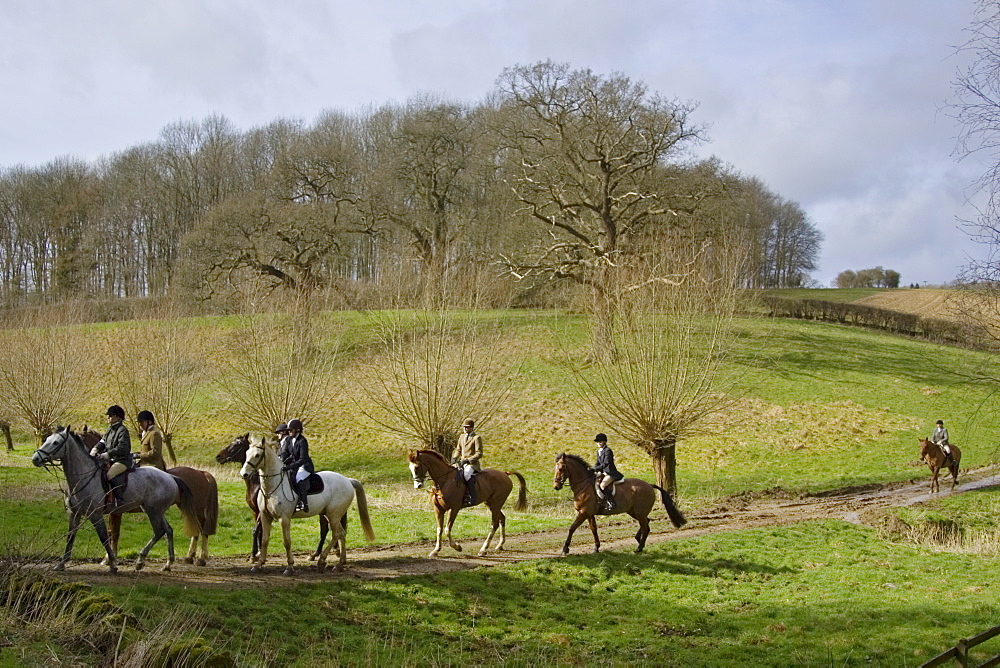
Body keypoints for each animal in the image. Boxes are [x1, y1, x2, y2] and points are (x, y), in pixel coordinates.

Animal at [31, 428, 197, 576]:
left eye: (56, 442)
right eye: (46, 440)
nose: (35, 459)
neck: (83, 477)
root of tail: (171, 477)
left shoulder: (96, 515)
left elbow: (105, 537)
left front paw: (112, 564)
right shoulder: (74, 513)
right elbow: (71, 536)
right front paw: (61, 563)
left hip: (153, 511)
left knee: (159, 531)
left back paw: (140, 561)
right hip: (155, 511)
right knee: (168, 530)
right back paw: (167, 564)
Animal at [80, 428, 219, 564]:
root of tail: (202, 473)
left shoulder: (116, 512)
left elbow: (114, 533)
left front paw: (108, 558)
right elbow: (111, 533)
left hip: (196, 508)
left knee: (201, 529)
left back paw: (200, 558)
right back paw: (190, 557)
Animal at [238, 438, 376, 576]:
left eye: (257, 455)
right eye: (246, 453)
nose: (244, 474)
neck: (271, 488)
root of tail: (347, 480)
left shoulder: (284, 518)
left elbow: (287, 541)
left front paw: (289, 567)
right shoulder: (265, 516)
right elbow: (265, 540)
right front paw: (258, 564)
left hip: (333, 514)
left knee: (337, 533)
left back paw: (322, 560)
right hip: (329, 514)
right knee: (341, 534)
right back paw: (339, 564)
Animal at [556, 452, 688, 556]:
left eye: (561, 469)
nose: (556, 486)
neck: (583, 485)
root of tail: (650, 485)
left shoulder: (584, 512)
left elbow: (572, 528)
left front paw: (565, 549)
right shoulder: (589, 514)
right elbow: (594, 529)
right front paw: (596, 547)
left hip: (639, 512)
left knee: (646, 527)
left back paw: (639, 548)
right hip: (633, 511)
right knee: (647, 523)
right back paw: (638, 540)